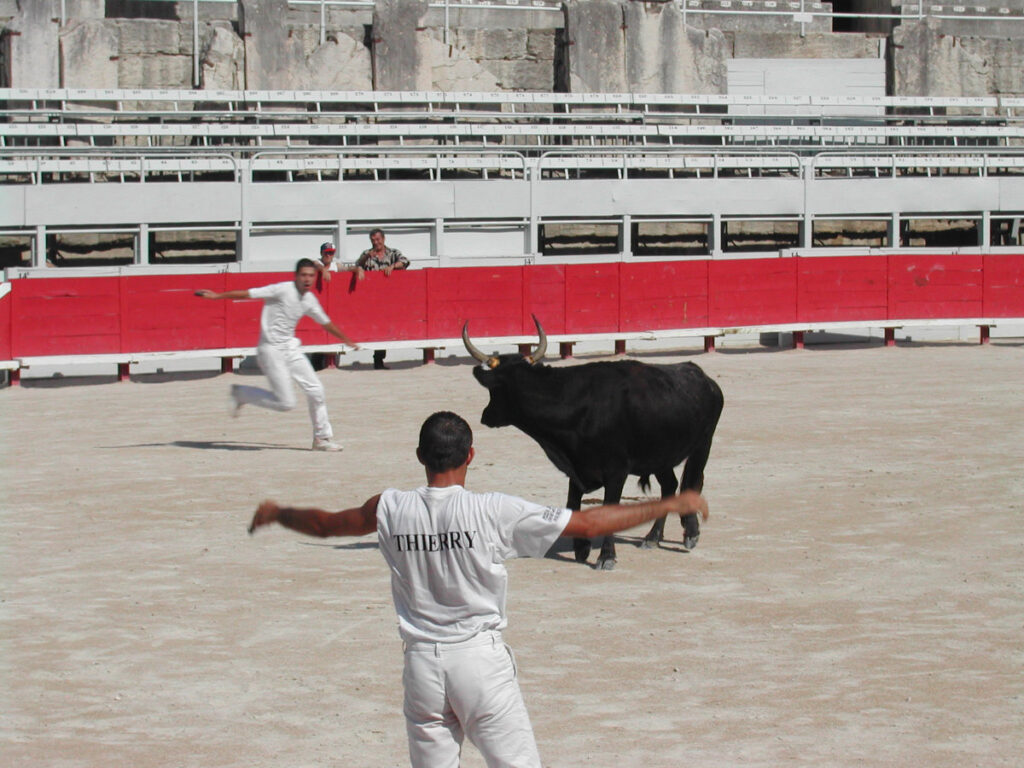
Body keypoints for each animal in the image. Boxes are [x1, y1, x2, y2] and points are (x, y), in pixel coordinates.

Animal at [460, 319, 724, 573]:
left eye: (494, 389)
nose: (485, 416)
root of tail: (701, 375)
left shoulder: (617, 471)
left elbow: (609, 510)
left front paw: (606, 557)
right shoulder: (576, 468)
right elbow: (572, 504)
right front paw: (581, 548)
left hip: (703, 444)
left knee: (692, 483)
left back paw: (690, 533)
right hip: (660, 456)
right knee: (669, 486)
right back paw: (652, 538)